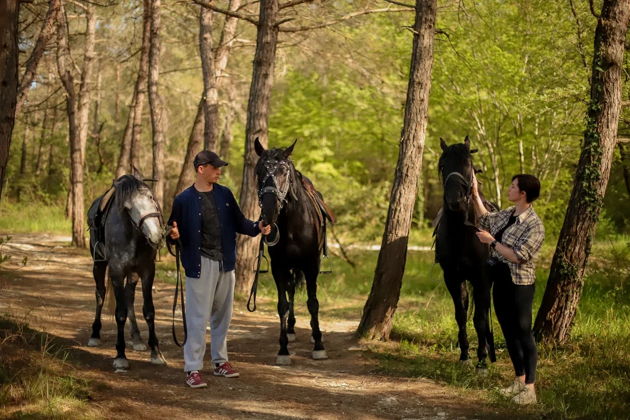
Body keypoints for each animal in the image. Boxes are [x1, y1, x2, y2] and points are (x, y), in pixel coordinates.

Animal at [89, 175, 168, 370]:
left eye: (150, 198)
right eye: (128, 207)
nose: (156, 235)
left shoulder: (147, 271)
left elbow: (149, 311)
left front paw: (156, 352)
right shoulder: (117, 272)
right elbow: (120, 313)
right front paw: (120, 355)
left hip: (132, 274)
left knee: (129, 296)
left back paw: (137, 338)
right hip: (99, 264)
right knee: (100, 294)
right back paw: (94, 334)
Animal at [256, 138, 336, 364]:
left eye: (284, 171)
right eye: (258, 171)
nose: (269, 212)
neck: (293, 223)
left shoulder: (311, 265)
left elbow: (313, 302)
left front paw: (319, 344)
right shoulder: (279, 267)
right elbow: (282, 304)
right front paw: (283, 349)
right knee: (291, 290)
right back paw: (291, 329)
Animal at [434, 136, 498, 370]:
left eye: (468, 164)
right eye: (443, 166)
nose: (455, 200)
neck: (462, 234)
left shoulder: (482, 277)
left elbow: (479, 318)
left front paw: (482, 358)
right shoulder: (453, 277)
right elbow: (461, 315)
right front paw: (464, 354)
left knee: (484, 311)